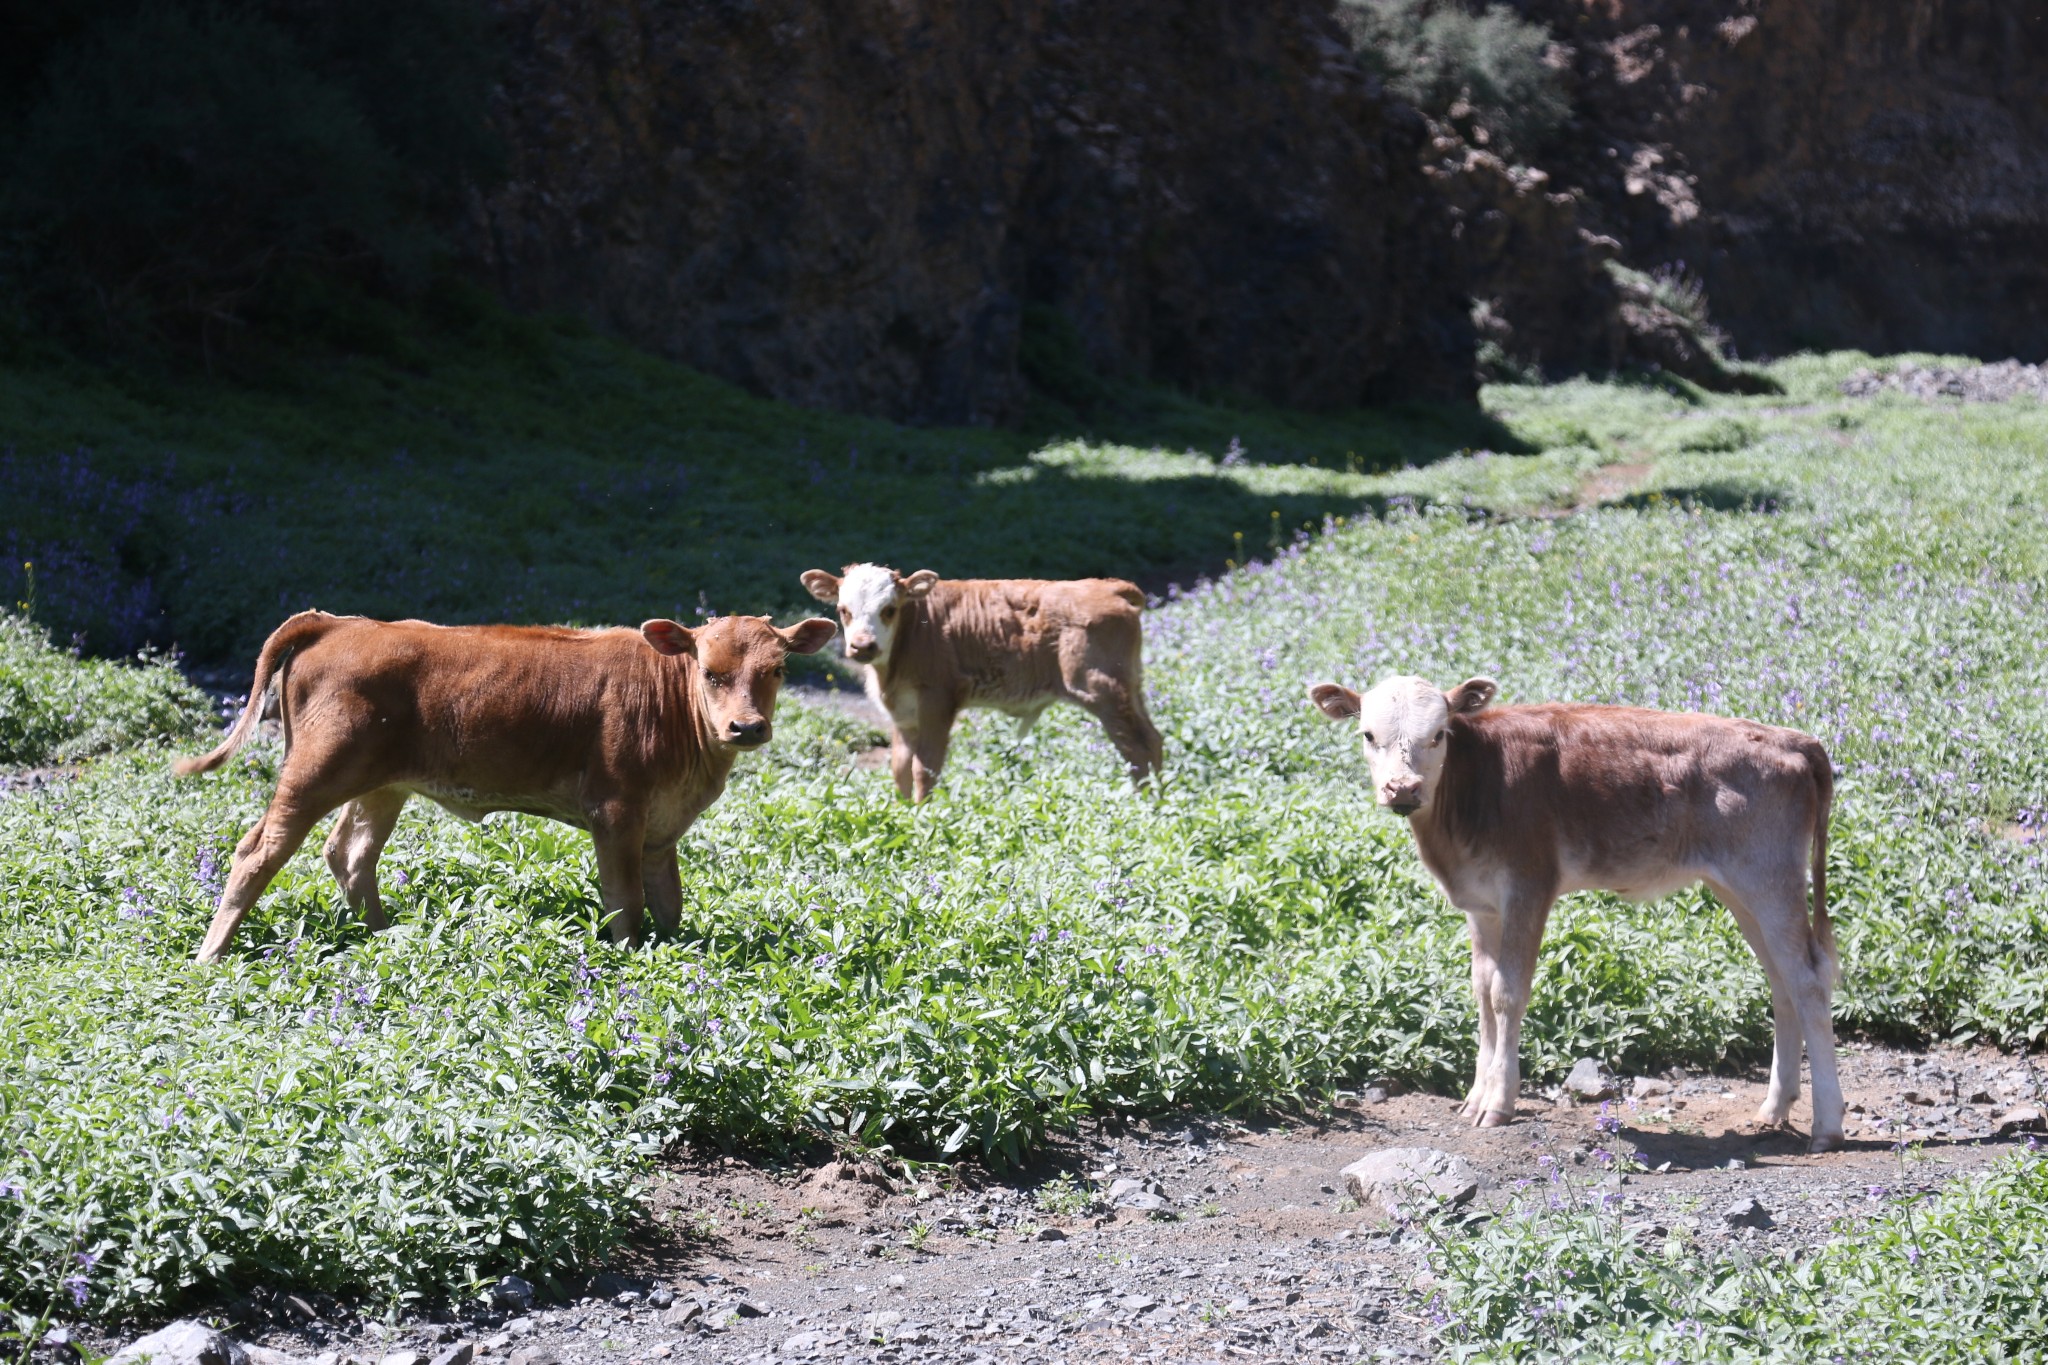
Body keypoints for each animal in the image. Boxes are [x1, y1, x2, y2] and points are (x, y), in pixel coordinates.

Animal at [172, 609, 835, 961]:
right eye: (710, 670)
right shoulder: (616, 810)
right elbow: (625, 900)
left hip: (381, 783)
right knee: (258, 850)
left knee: (350, 852)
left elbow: (669, 903)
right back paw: (212, 954)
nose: (745, 726)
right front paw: (627, 963)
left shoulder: (661, 828)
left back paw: (387, 937)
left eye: (777, 669)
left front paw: (675, 957)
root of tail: (340, 621)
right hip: (314, 772)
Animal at [794, 564, 1163, 802]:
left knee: (1137, 746)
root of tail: (1107, 586)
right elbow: (899, 767)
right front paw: (903, 810)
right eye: (843, 609)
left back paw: (1146, 803)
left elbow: (924, 768)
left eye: (889, 609)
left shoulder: (937, 703)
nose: (862, 646)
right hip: (1129, 687)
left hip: (1103, 690)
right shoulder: (904, 712)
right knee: (1153, 739)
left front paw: (922, 816)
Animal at [1310, 671, 1859, 1154]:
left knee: (1808, 979)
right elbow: (1482, 992)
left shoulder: (1529, 886)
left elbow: (1507, 994)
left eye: (1439, 734)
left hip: (1768, 876)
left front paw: (1498, 1102)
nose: (1402, 789)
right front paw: (1474, 1096)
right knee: (1781, 980)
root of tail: (1793, 739)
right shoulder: (1481, 904)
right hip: (1738, 886)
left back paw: (1827, 1127)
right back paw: (1774, 1108)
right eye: (1368, 734)